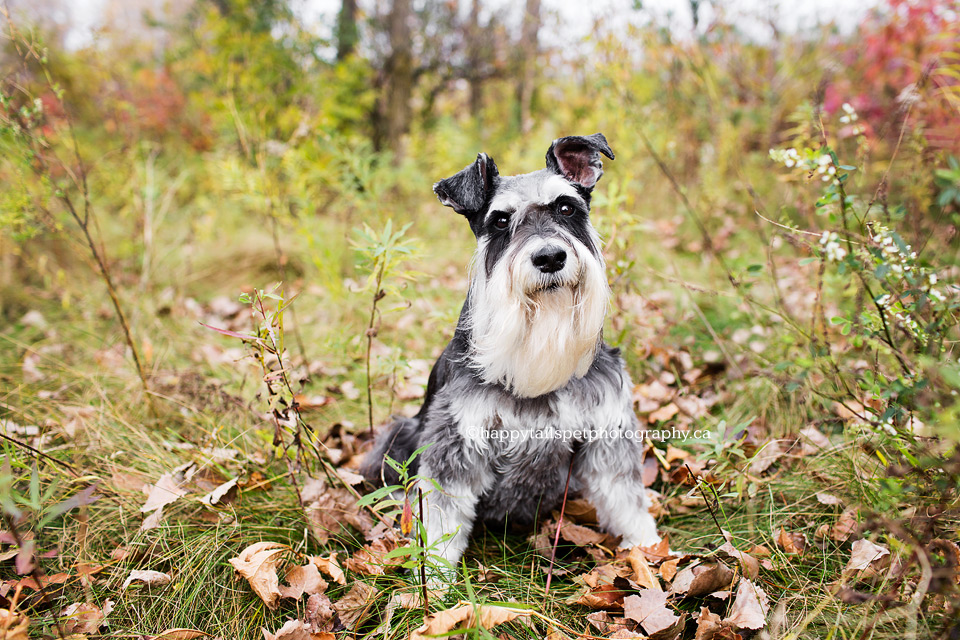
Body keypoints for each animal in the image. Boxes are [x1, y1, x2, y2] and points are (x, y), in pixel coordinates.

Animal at [360, 132, 660, 572]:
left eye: (567, 207)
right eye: (500, 220)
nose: (550, 256)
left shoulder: (605, 431)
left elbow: (625, 498)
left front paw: (649, 547)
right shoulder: (457, 443)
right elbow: (442, 520)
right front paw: (435, 578)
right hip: (401, 435)